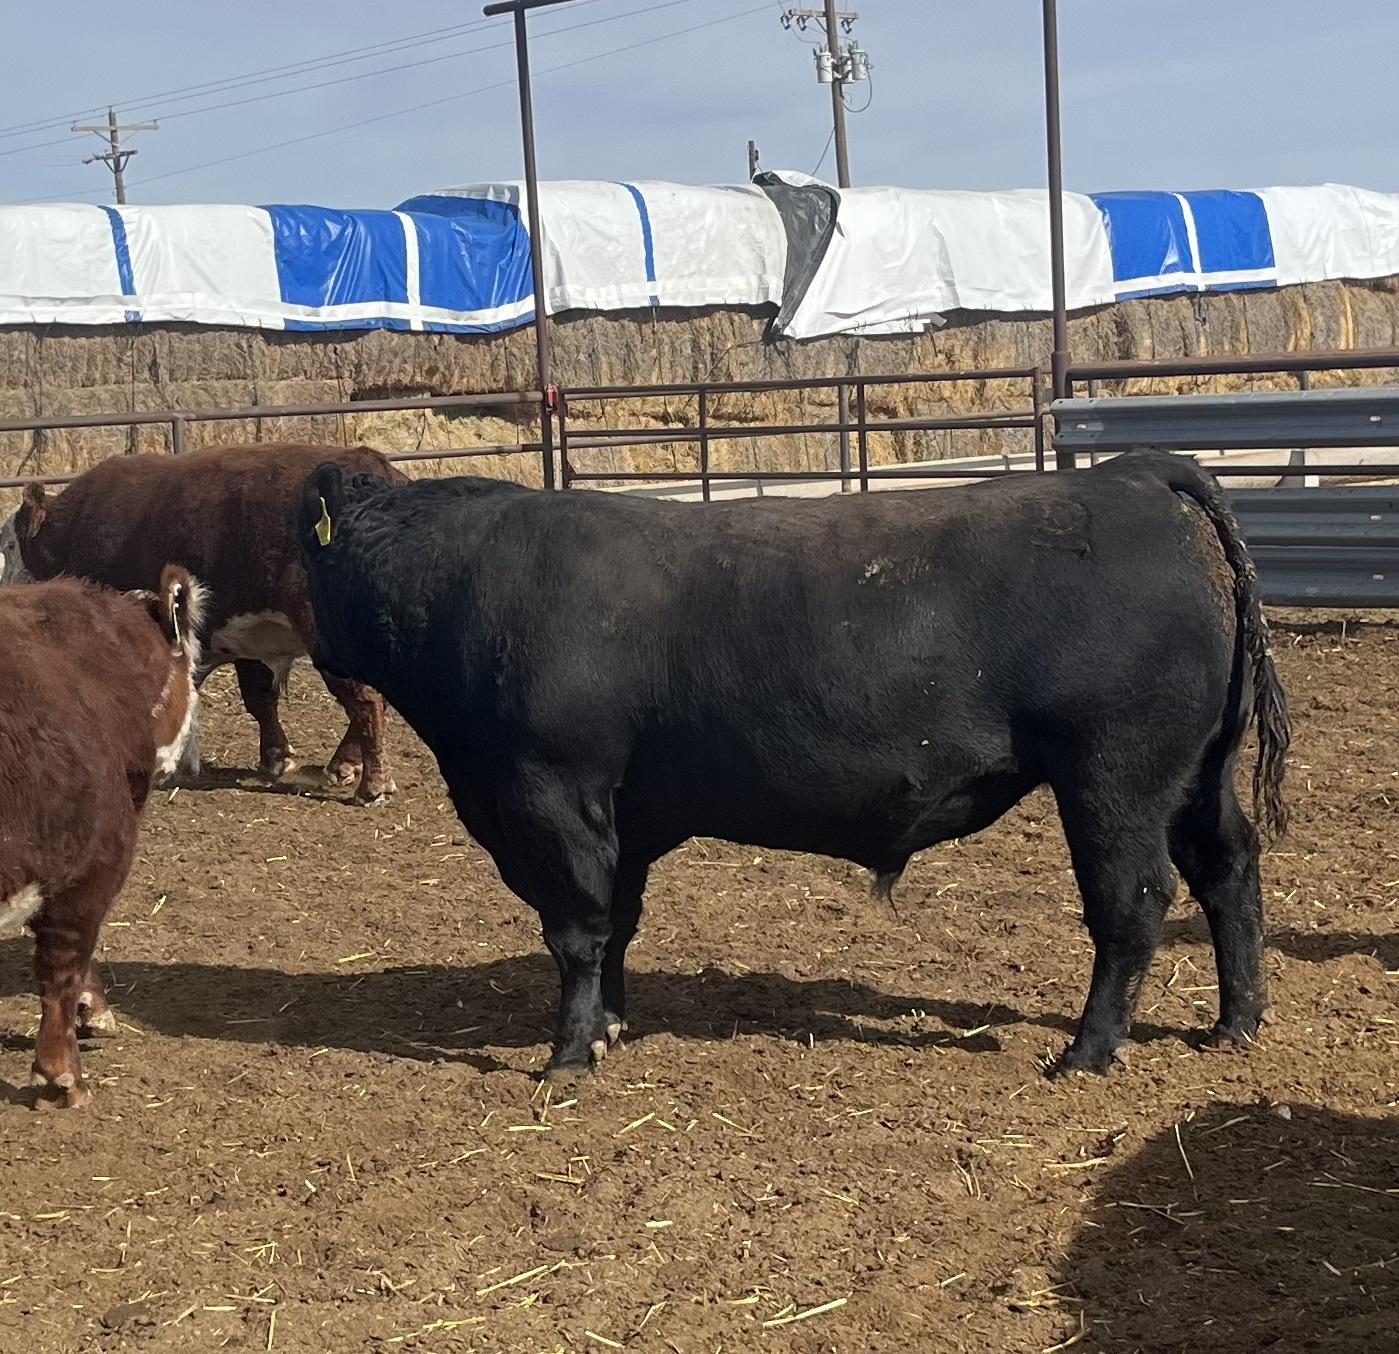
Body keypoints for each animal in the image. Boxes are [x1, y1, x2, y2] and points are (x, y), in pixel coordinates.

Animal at [0, 443, 403, 803]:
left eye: (7, 546)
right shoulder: (248, 639)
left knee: (365, 699)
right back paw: (344, 765)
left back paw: (373, 784)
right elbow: (259, 698)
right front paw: (274, 758)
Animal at [295, 449, 1290, 1086]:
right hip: (1196, 774)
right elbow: (616, 925)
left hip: (1113, 776)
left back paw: (1086, 1054)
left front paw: (568, 1057)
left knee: (1132, 902)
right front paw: (611, 1027)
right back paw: (1234, 1024)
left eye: (312, 558)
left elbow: (576, 927)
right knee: (1227, 869)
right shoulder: (622, 809)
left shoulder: (550, 789)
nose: (315, 646)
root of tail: (1131, 473)